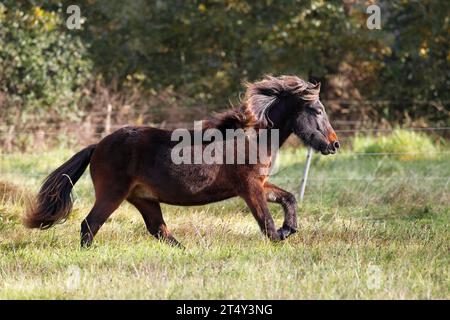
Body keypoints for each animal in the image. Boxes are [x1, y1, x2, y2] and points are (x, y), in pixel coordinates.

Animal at [24, 75, 340, 248]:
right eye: (317, 110)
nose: (334, 144)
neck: (254, 137)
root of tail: (97, 145)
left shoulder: (260, 184)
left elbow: (289, 198)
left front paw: (290, 229)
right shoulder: (249, 187)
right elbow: (266, 223)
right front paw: (281, 236)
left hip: (143, 198)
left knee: (158, 230)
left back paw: (189, 251)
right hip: (113, 194)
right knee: (90, 225)